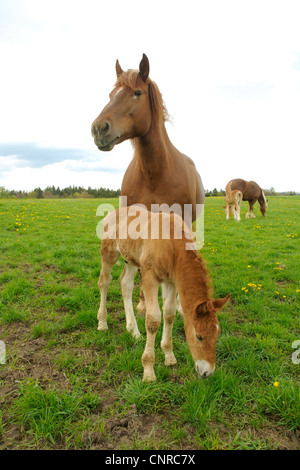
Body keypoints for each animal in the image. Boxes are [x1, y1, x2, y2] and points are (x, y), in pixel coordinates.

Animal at [91, 54, 204, 312]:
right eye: (111, 95)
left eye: (137, 93)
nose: (99, 129)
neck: (154, 174)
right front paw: (142, 303)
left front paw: (176, 304)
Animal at [98, 208, 230, 382]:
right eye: (199, 336)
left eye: (217, 334)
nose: (207, 372)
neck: (171, 243)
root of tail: (112, 213)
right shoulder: (149, 277)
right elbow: (153, 319)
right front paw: (148, 371)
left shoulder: (171, 281)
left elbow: (169, 314)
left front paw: (169, 356)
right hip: (109, 253)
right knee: (104, 281)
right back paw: (102, 323)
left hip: (131, 259)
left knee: (125, 284)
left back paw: (134, 330)